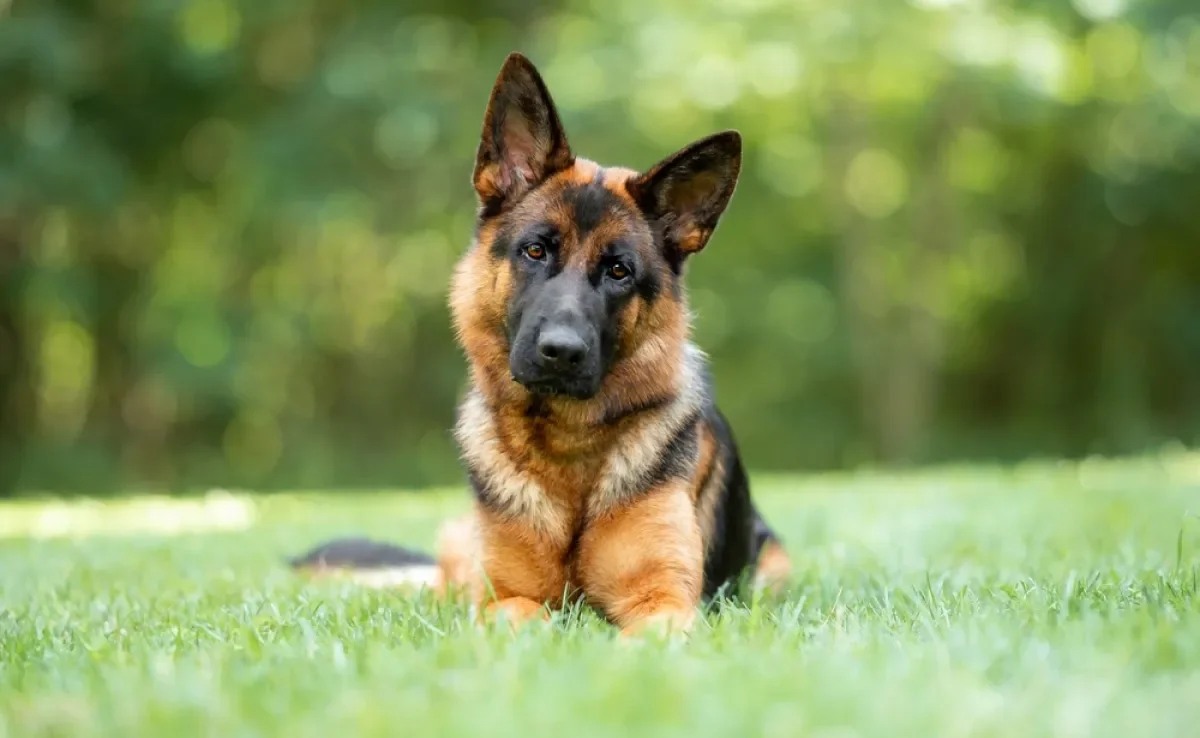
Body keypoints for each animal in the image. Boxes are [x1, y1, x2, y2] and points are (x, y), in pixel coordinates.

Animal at [290, 53, 792, 643]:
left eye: (619, 271)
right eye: (535, 250)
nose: (561, 352)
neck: (567, 449)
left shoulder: (664, 599)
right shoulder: (502, 599)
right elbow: (529, 617)